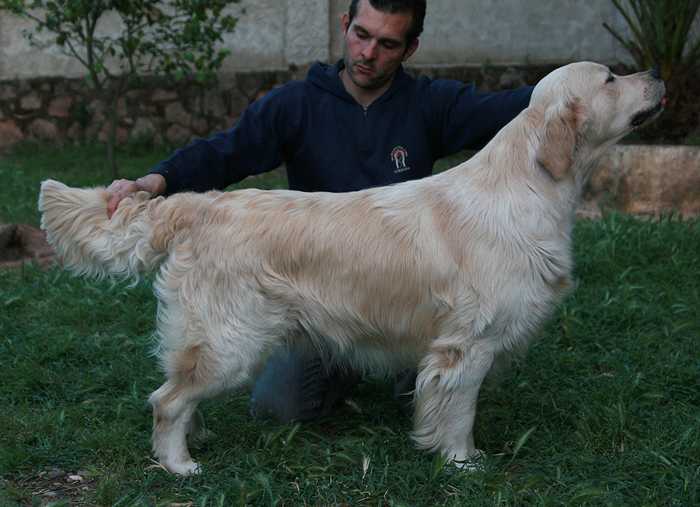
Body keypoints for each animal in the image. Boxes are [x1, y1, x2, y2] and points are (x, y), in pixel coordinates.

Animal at [39, 62, 668, 476]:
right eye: (611, 79)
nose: (659, 74)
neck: (528, 184)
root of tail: (197, 204)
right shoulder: (468, 342)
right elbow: (459, 409)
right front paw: (463, 463)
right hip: (231, 339)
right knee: (166, 400)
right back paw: (178, 465)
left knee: (176, 390)